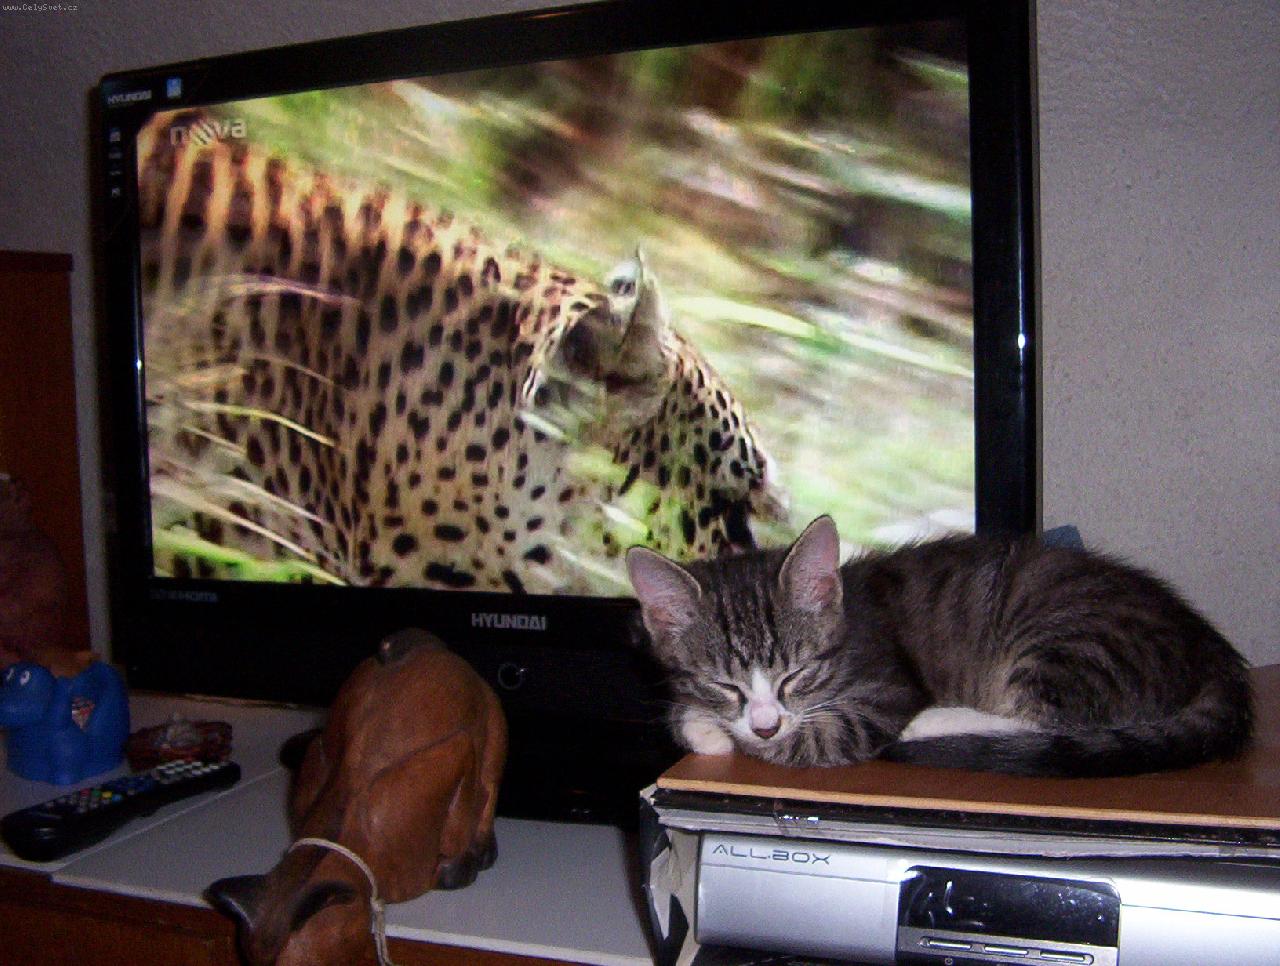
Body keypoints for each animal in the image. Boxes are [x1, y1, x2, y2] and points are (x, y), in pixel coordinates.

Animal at [626, 515, 1253, 776]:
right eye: (723, 683)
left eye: (796, 675)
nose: (763, 723)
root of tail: (1210, 645)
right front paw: (702, 723)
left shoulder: (883, 689)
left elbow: (809, 741)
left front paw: (740, 737)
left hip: (1073, 641)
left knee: (1054, 721)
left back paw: (936, 723)